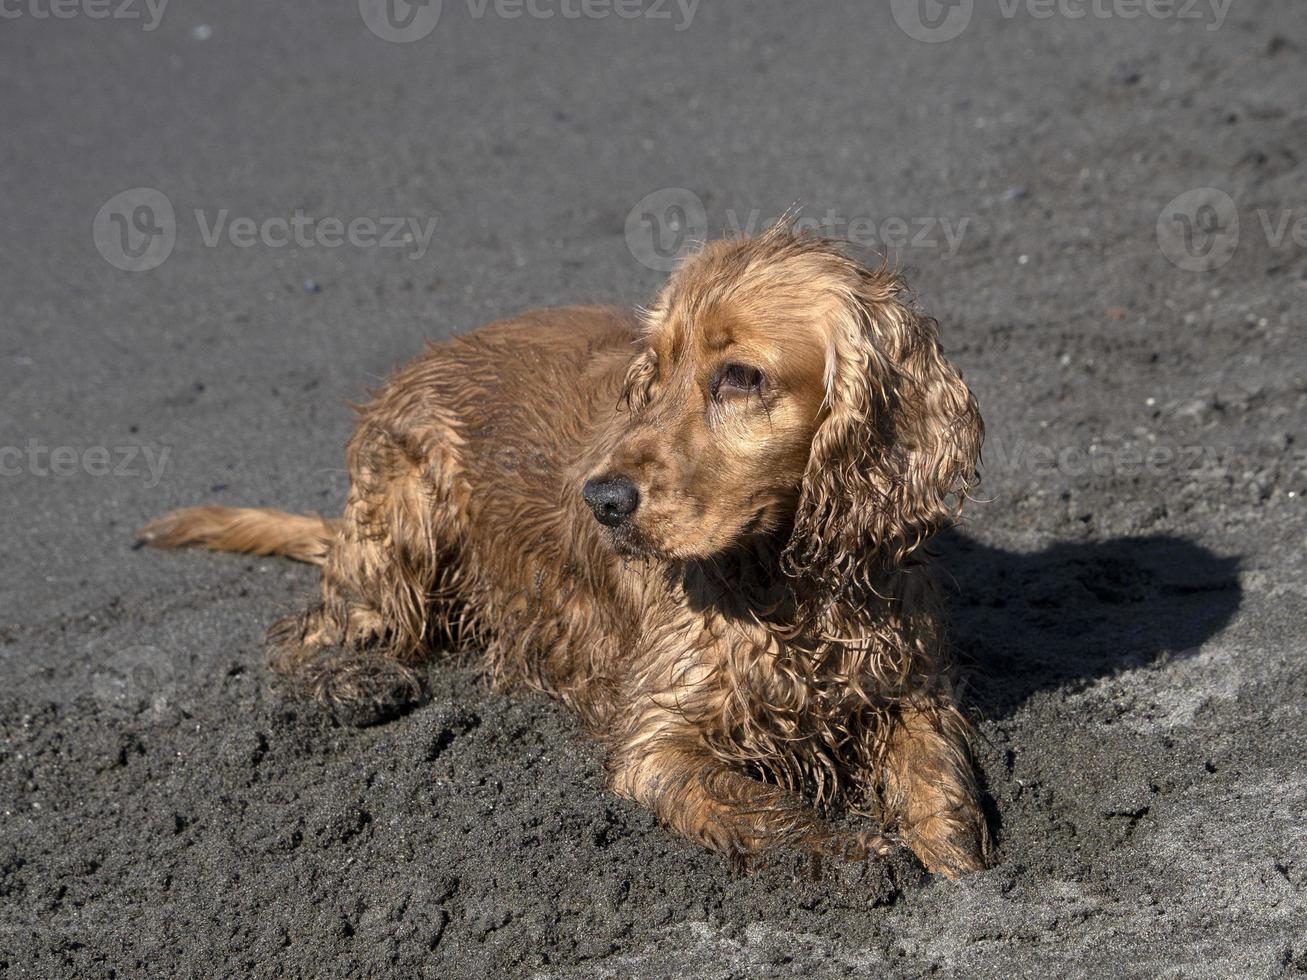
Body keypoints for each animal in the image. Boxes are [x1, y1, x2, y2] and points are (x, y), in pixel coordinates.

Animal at [140, 224, 988, 883]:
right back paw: (355, 680)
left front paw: (962, 869)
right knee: (308, 632)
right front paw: (856, 856)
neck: (787, 582)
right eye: (654, 371)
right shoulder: (659, 737)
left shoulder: (909, 681)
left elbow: (937, 780)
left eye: (741, 376)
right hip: (402, 519)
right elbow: (760, 806)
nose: (602, 499)